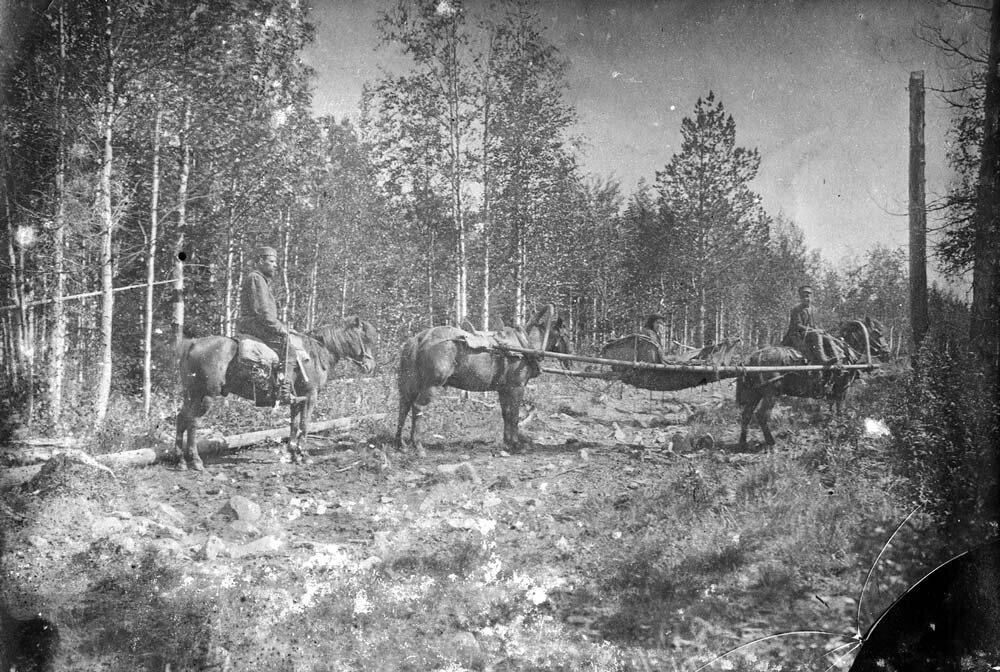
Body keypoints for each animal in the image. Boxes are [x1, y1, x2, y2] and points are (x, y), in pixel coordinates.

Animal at [174, 316, 376, 470]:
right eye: (365, 339)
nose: (371, 366)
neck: (316, 354)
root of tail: (193, 344)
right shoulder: (310, 396)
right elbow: (305, 425)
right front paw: (305, 455)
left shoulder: (297, 399)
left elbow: (294, 425)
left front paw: (293, 454)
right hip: (205, 396)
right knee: (193, 422)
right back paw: (196, 461)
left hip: (191, 394)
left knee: (182, 419)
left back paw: (181, 460)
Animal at [398, 306, 572, 456]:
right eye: (566, 334)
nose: (570, 359)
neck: (525, 347)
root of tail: (419, 339)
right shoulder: (517, 388)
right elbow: (515, 415)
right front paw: (517, 444)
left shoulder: (504, 390)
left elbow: (506, 414)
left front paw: (507, 443)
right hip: (431, 385)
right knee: (417, 407)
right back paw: (418, 446)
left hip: (411, 383)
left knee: (403, 407)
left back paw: (401, 444)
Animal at [736, 316, 892, 452]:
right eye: (878, 332)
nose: (887, 353)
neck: (845, 351)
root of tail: (751, 358)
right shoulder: (842, 388)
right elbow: (840, 410)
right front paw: (842, 428)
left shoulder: (835, 391)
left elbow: (833, 409)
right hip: (771, 393)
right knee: (762, 415)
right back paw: (771, 443)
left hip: (755, 393)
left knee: (746, 415)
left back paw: (743, 444)